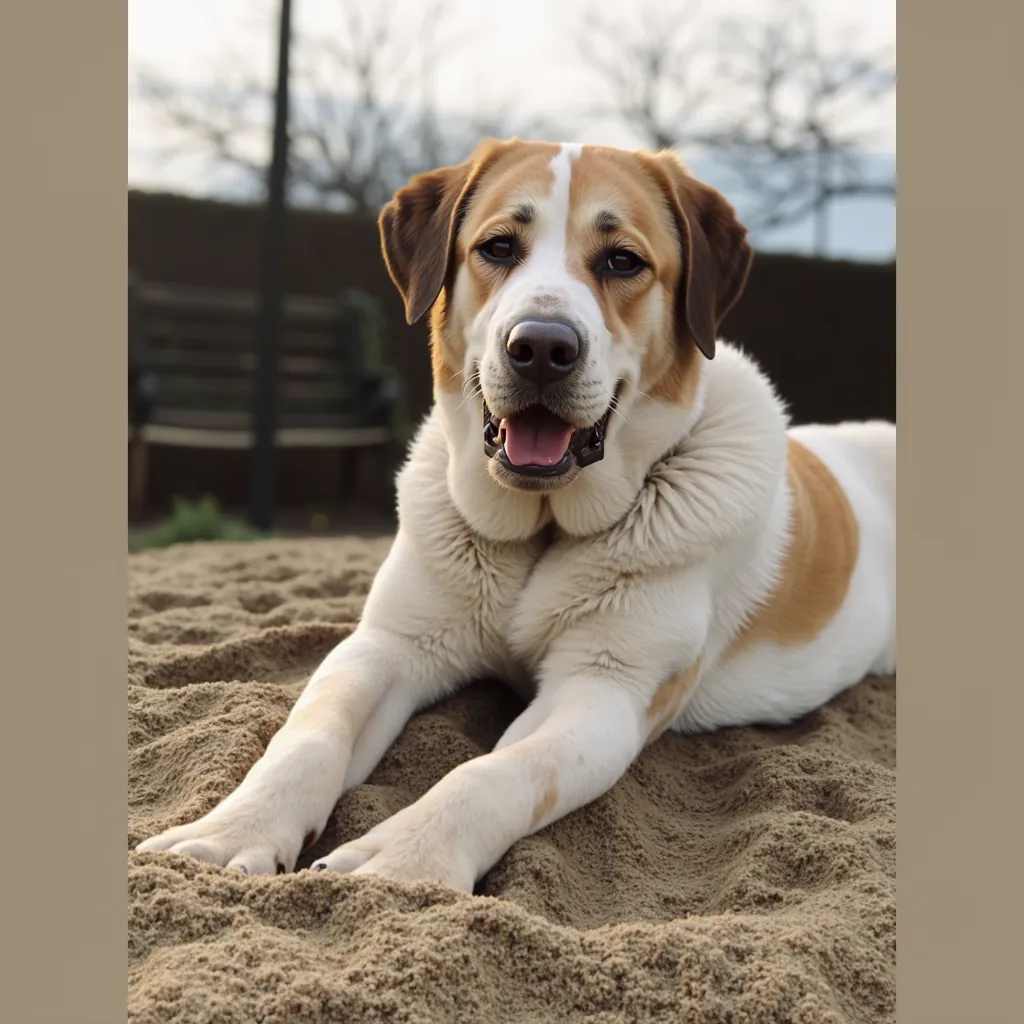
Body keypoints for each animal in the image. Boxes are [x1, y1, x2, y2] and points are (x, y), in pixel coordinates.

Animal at [138, 140, 897, 892]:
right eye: (499, 247)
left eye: (623, 260)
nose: (541, 347)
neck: (541, 531)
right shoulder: (387, 644)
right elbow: (309, 732)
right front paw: (231, 831)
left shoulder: (605, 689)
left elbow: (493, 771)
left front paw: (403, 861)